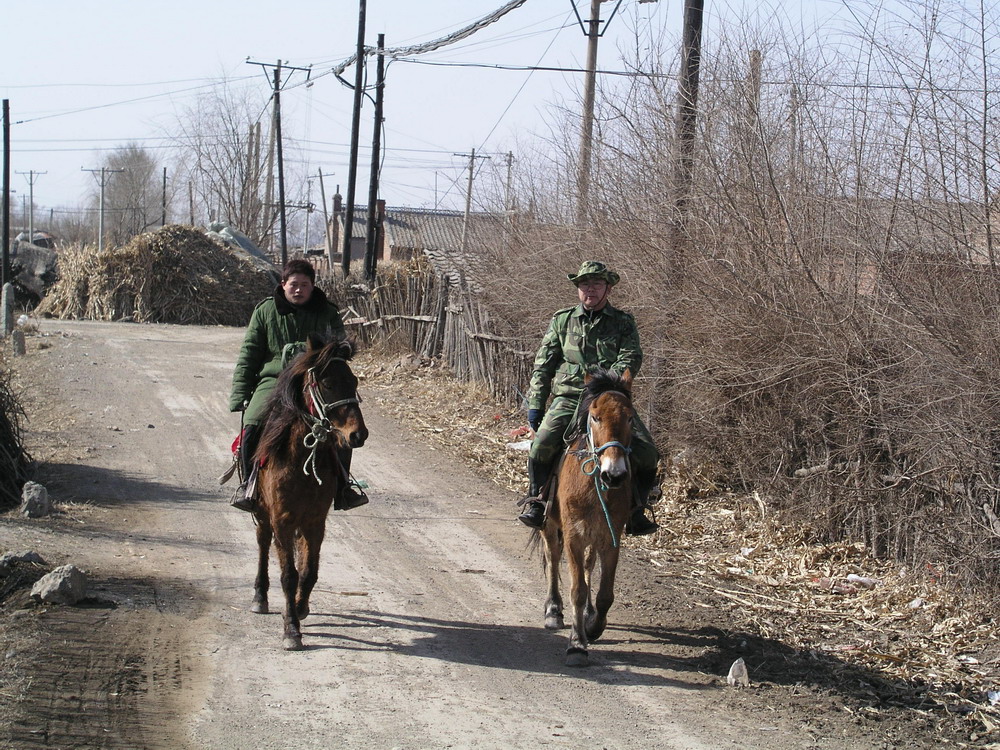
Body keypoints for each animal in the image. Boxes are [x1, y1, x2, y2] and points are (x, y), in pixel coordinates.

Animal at [250, 334, 372, 652]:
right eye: (327, 384)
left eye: (353, 381)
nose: (358, 435)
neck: (302, 459)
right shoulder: (281, 519)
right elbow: (288, 575)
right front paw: (291, 630)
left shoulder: (315, 521)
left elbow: (308, 571)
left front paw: (299, 608)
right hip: (262, 513)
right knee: (262, 545)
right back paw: (259, 597)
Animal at [540, 368, 632, 668]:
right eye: (595, 416)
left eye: (630, 417)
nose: (614, 475)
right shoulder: (574, 538)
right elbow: (577, 590)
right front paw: (577, 644)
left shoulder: (611, 539)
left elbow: (605, 594)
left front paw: (593, 627)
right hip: (549, 525)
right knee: (552, 557)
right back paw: (553, 610)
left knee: (590, 567)